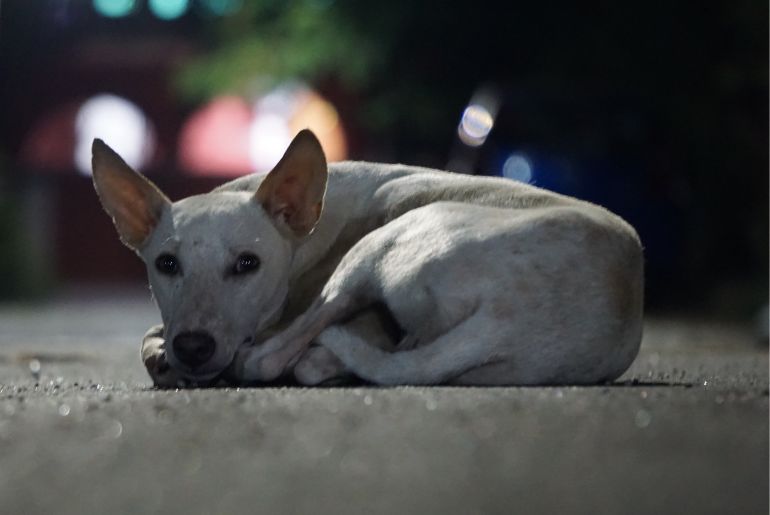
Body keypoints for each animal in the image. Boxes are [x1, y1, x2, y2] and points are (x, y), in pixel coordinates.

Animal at [90, 129, 640, 388]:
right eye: (166, 265)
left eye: (247, 264)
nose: (194, 347)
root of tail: (505, 321)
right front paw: (164, 355)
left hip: (378, 246)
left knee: (275, 357)